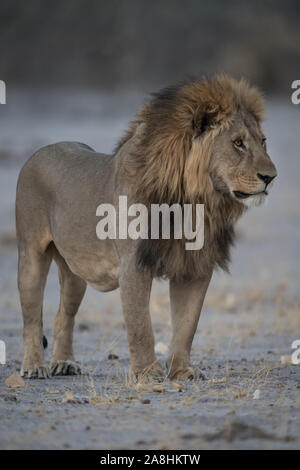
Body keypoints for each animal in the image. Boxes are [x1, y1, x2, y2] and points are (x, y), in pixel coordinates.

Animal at [15, 74, 276, 382]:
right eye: (238, 143)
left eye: (263, 142)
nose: (271, 177)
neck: (195, 201)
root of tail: (41, 151)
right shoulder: (134, 263)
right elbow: (141, 325)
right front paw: (147, 374)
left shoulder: (195, 266)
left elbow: (187, 325)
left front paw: (181, 371)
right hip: (31, 255)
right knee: (32, 317)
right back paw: (34, 366)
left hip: (75, 272)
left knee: (64, 315)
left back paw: (64, 363)